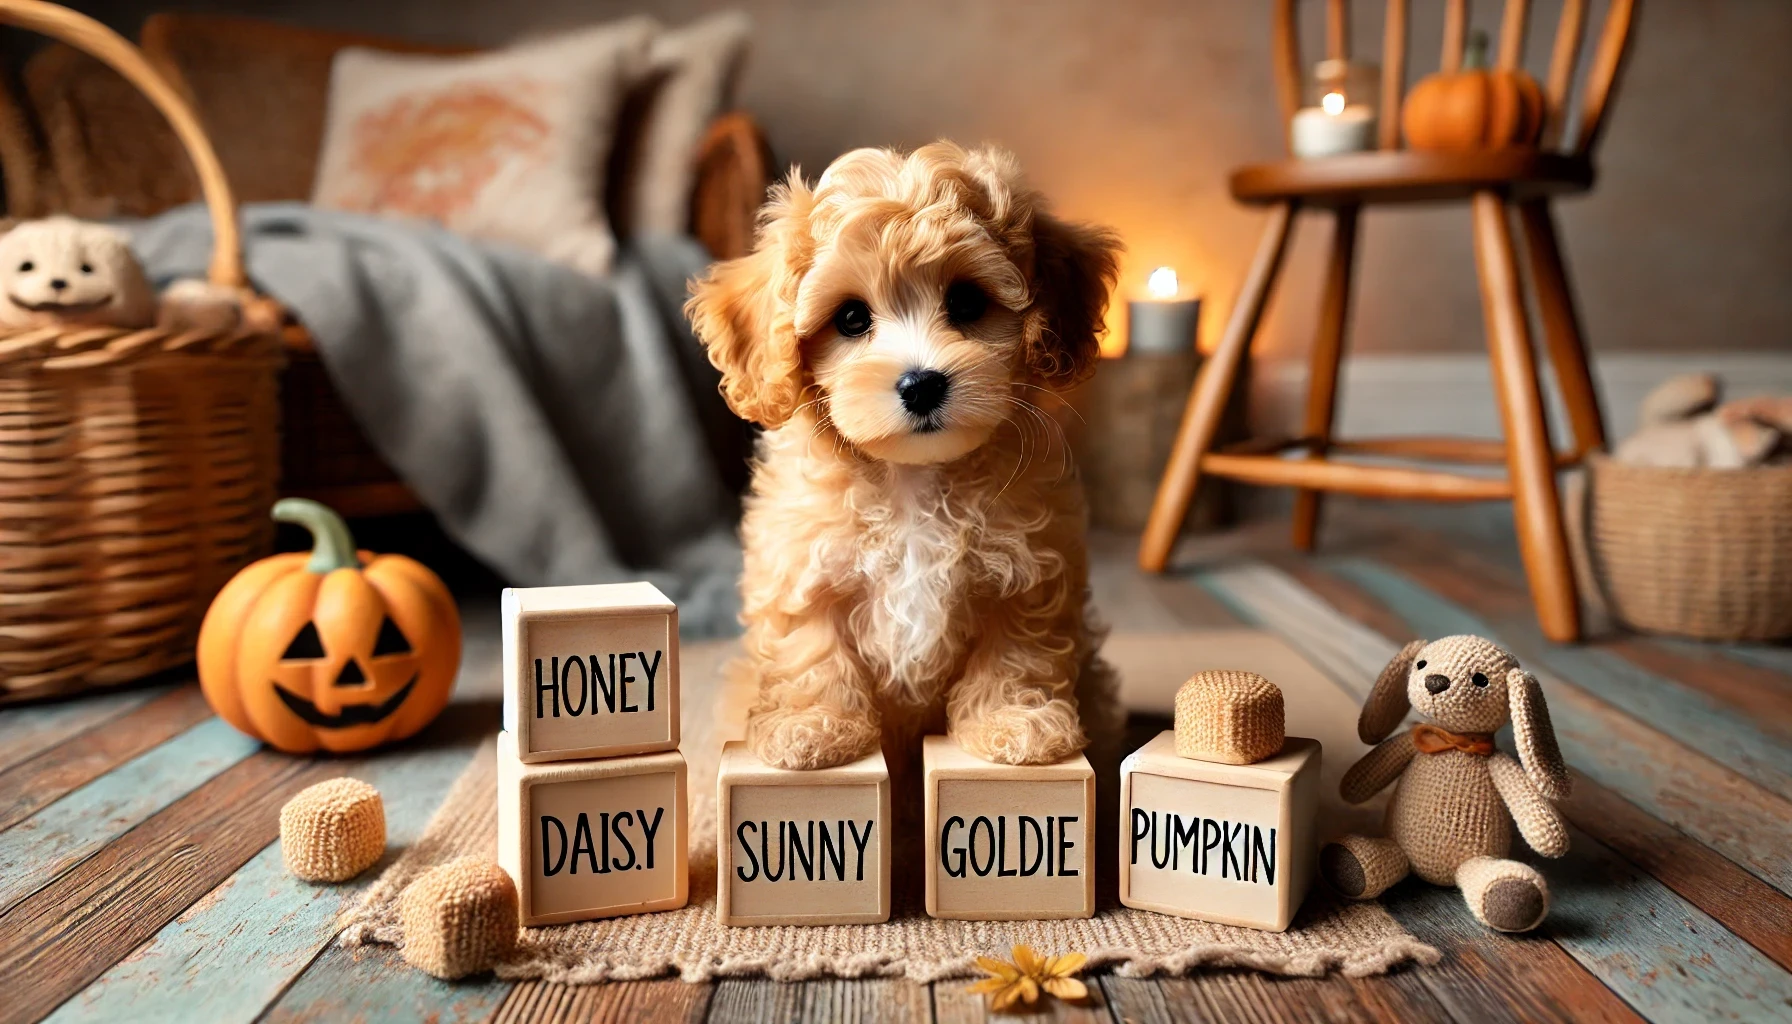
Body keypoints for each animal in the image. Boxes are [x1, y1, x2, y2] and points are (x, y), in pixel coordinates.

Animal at [688, 142, 1118, 767]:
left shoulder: (1027, 573)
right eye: (850, 318)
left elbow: (1016, 652)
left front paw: (1015, 722)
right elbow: (810, 648)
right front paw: (814, 726)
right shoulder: (803, 567)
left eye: (966, 301)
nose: (921, 384)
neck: (913, 478)